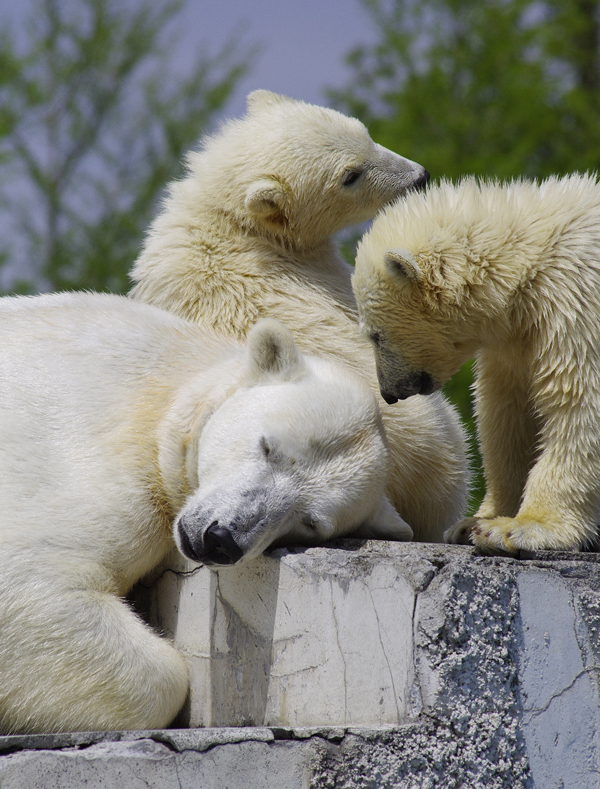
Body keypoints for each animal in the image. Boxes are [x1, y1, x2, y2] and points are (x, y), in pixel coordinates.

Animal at [354, 174, 600, 556]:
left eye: (375, 336)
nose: (389, 392)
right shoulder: (516, 339)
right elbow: (505, 414)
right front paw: (475, 523)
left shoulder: (577, 303)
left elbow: (577, 401)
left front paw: (524, 528)